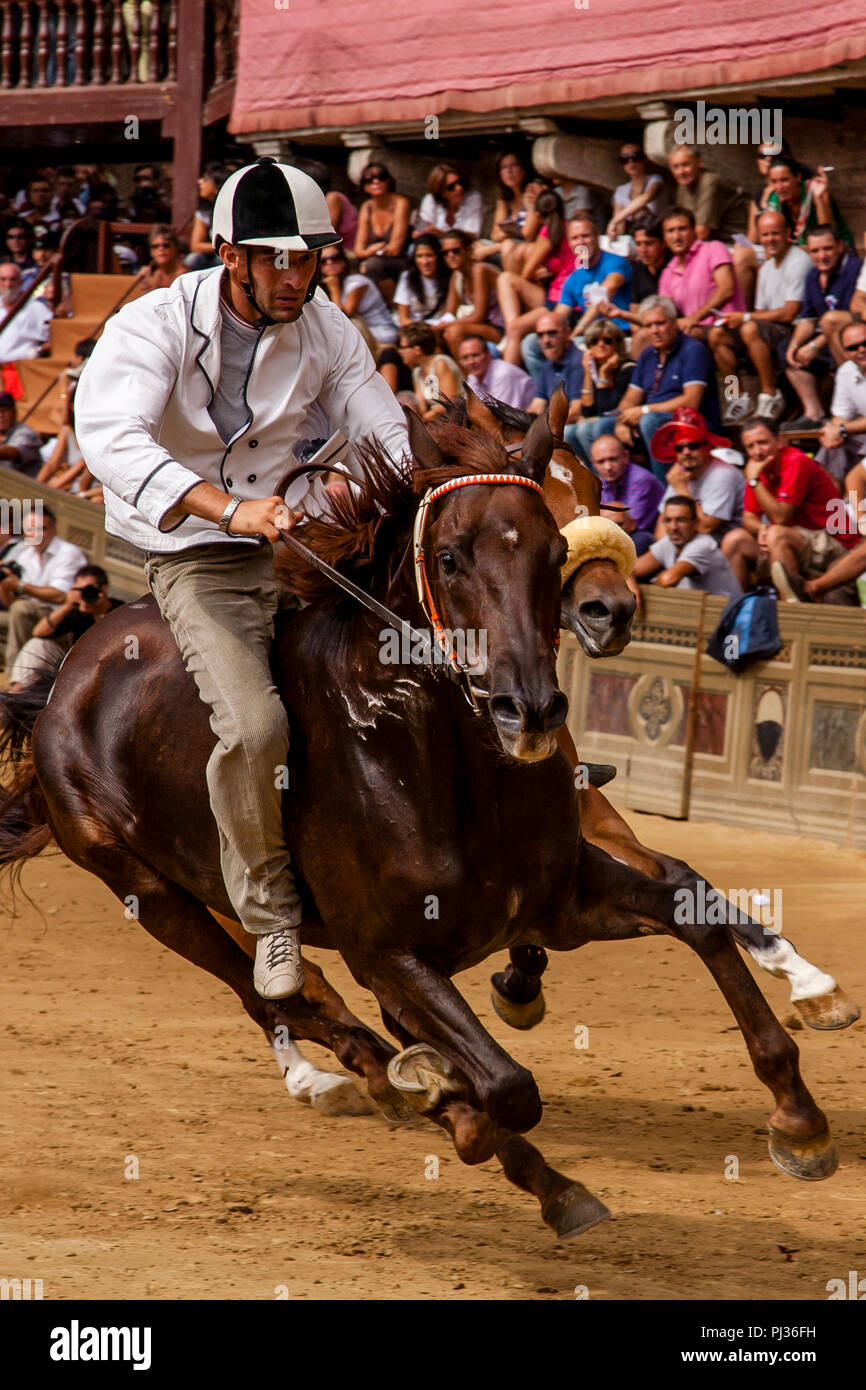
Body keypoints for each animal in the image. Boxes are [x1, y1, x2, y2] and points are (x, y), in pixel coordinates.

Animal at [0, 406, 844, 1239]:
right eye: (448, 556)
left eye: (552, 547)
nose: (530, 706)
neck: (439, 759)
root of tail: (68, 677)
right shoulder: (386, 951)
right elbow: (506, 1086)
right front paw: (451, 1098)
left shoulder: (559, 899)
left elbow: (692, 910)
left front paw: (799, 1116)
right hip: (150, 892)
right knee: (276, 996)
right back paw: (372, 1085)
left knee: (305, 997)